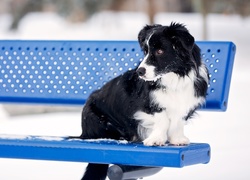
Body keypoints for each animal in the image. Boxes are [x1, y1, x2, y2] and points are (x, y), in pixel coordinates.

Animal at [78, 22, 209, 180]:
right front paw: (156, 139)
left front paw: (177, 139)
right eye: (145, 51)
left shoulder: (186, 105)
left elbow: (178, 122)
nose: (139, 72)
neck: (174, 78)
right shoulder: (145, 106)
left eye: (159, 51)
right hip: (95, 117)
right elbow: (163, 119)